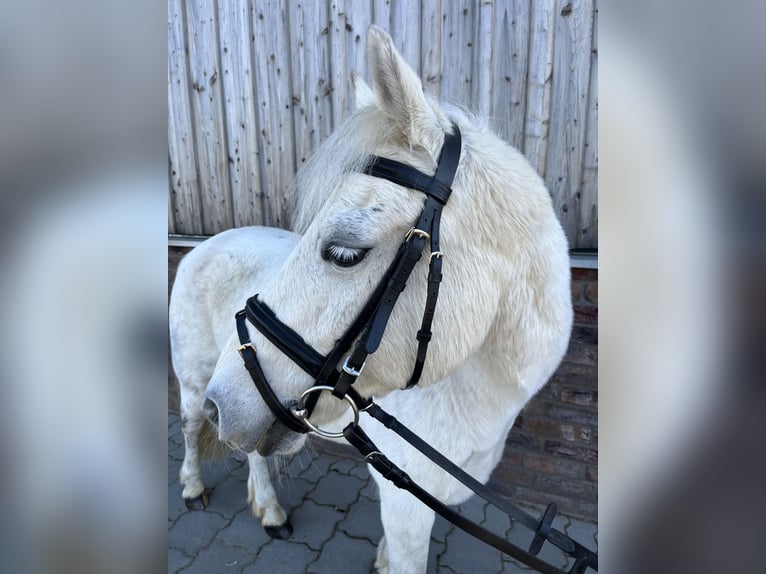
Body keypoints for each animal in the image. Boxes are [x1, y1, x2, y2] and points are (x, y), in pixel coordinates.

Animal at [170, 26, 572, 574]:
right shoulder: (407, 508)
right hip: (194, 381)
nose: (224, 404)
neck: (473, 395)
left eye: (344, 253)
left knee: (251, 451)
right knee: (191, 427)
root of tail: (206, 243)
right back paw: (193, 488)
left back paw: (270, 510)